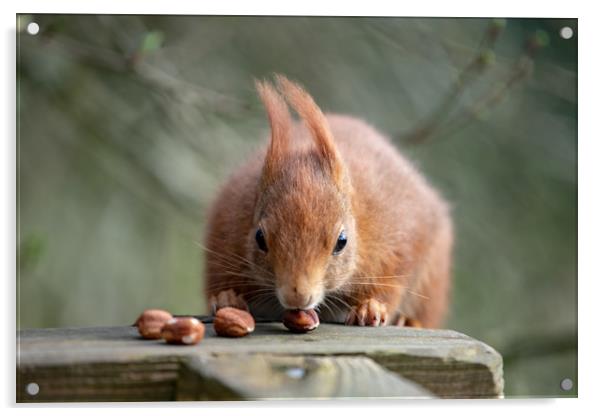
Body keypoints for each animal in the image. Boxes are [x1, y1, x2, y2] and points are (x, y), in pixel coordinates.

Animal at [202, 75, 450, 328]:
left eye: (342, 241)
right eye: (259, 238)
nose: (297, 296)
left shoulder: (397, 239)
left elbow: (391, 283)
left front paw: (371, 306)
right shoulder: (227, 228)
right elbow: (220, 278)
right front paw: (227, 298)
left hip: (433, 276)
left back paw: (409, 321)